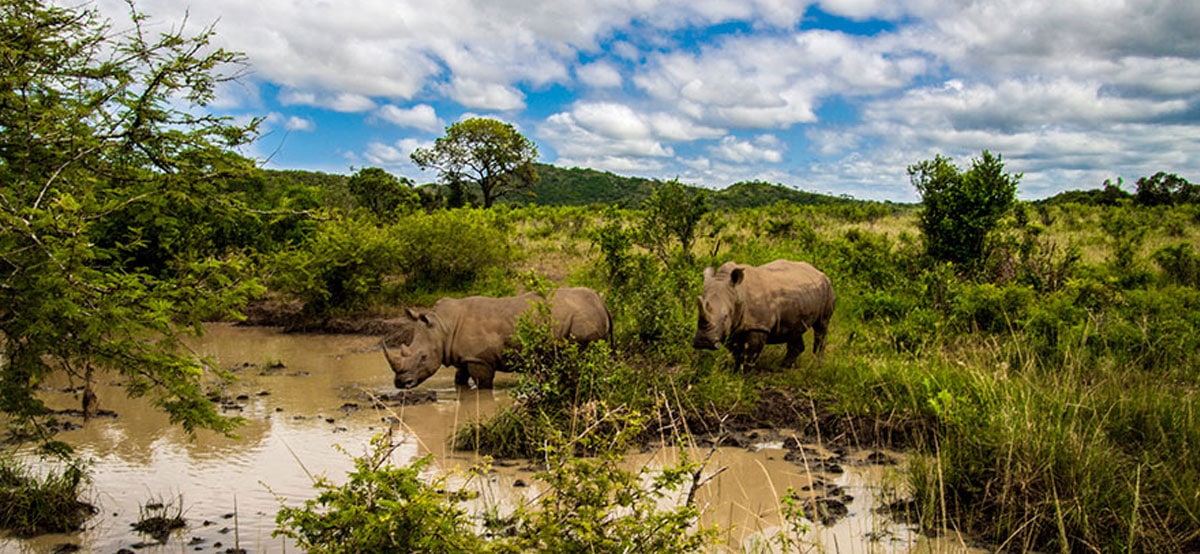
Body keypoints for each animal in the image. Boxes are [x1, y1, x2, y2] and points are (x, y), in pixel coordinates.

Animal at [382, 287, 611, 389]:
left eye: (423, 357)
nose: (401, 383)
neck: (442, 328)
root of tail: (601, 302)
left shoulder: (480, 360)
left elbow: (483, 385)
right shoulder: (465, 358)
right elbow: (460, 380)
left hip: (582, 319)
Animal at [693, 260, 835, 370]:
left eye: (725, 317)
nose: (703, 342)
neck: (738, 293)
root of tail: (819, 271)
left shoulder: (758, 326)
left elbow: (749, 354)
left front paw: (742, 374)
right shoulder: (734, 327)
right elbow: (736, 351)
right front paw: (735, 370)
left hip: (827, 288)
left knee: (821, 326)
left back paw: (817, 365)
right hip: (799, 297)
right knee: (794, 329)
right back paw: (783, 367)